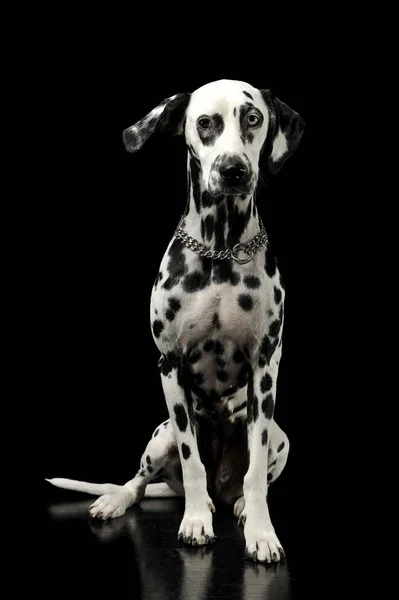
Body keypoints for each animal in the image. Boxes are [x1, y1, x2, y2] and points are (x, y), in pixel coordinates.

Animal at [47, 78, 304, 564]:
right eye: (205, 122)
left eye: (253, 118)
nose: (233, 170)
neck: (220, 250)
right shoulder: (169, 367)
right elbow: (191, 461)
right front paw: (195, 521)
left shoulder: (266, 369)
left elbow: (255, 473)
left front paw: (261, 531)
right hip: (160, 435)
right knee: (141, 481)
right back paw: (125, 499)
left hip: (280, 437)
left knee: (248, 475)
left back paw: (238, 505)